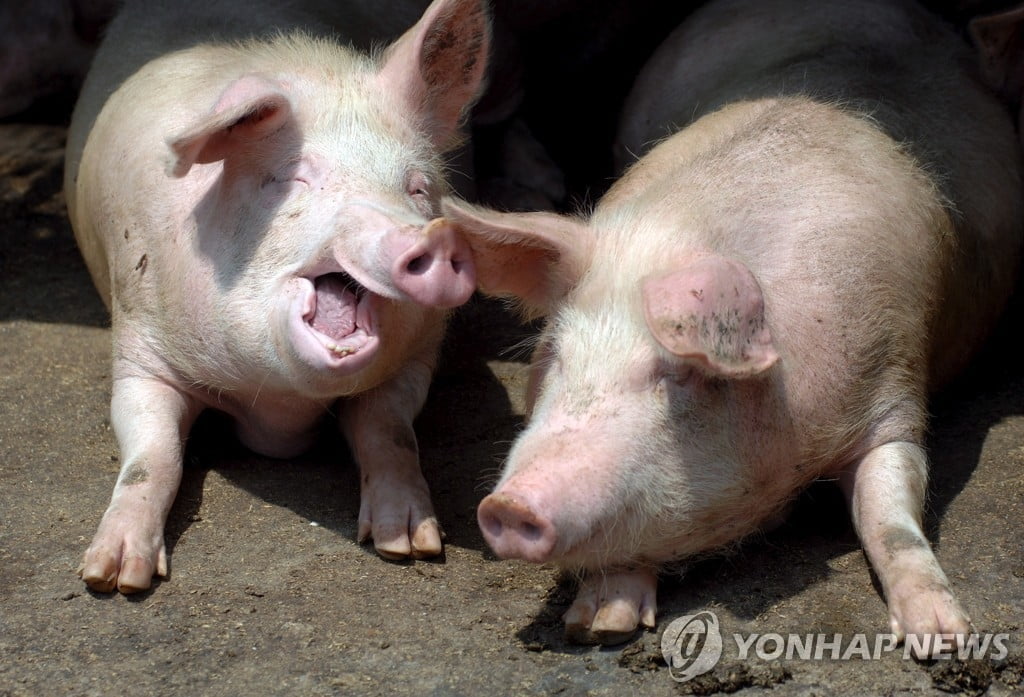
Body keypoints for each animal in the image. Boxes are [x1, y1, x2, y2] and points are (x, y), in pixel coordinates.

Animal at [444, 0, 1024, 650]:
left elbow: (889, 512)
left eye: (675, 375)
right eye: (559, 357)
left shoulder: (896, 378)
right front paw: (595, 625)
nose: (508, 506)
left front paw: (943, 638)